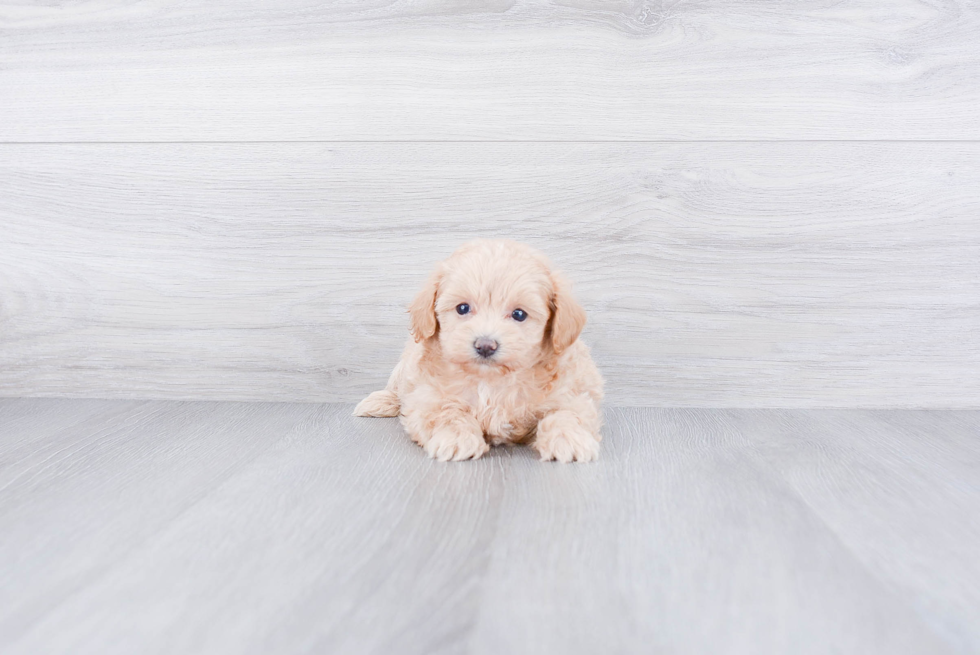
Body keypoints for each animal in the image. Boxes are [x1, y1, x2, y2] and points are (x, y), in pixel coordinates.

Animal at [356, 240, 600, 462]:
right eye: (463, 308)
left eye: (519, 314)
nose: (485, 345)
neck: (491, 380)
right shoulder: (427, 397)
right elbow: (447, 412)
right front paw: (456, 438)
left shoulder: (572, 394)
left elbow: (566, 413)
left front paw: (568, 439)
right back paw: (380, 401)